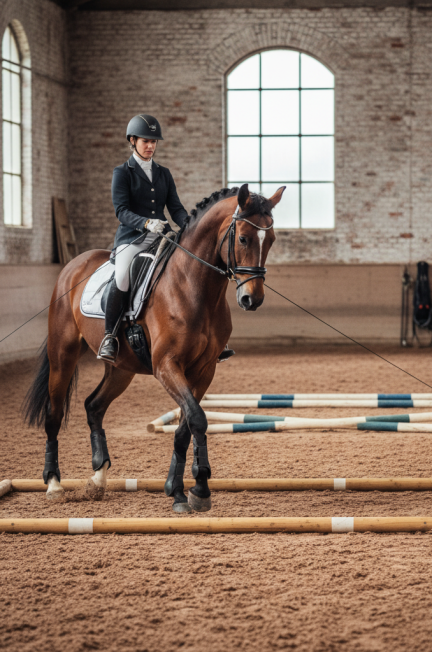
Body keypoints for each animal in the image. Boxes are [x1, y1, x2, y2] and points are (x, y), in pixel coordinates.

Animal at [23, 183, 284, 512]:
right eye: (243, 238)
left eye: (271, 240)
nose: (253, 299)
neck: (193, 288)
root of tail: (74, 265)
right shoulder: (166, 365)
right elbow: (197, 418)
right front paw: (198, 488)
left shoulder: (203, 370)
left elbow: (186, 426)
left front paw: (181, 490)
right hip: (63, 355)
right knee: (54, 414)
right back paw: (54, 483)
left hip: (121, 369)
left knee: (94, 406)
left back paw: (98, 477)